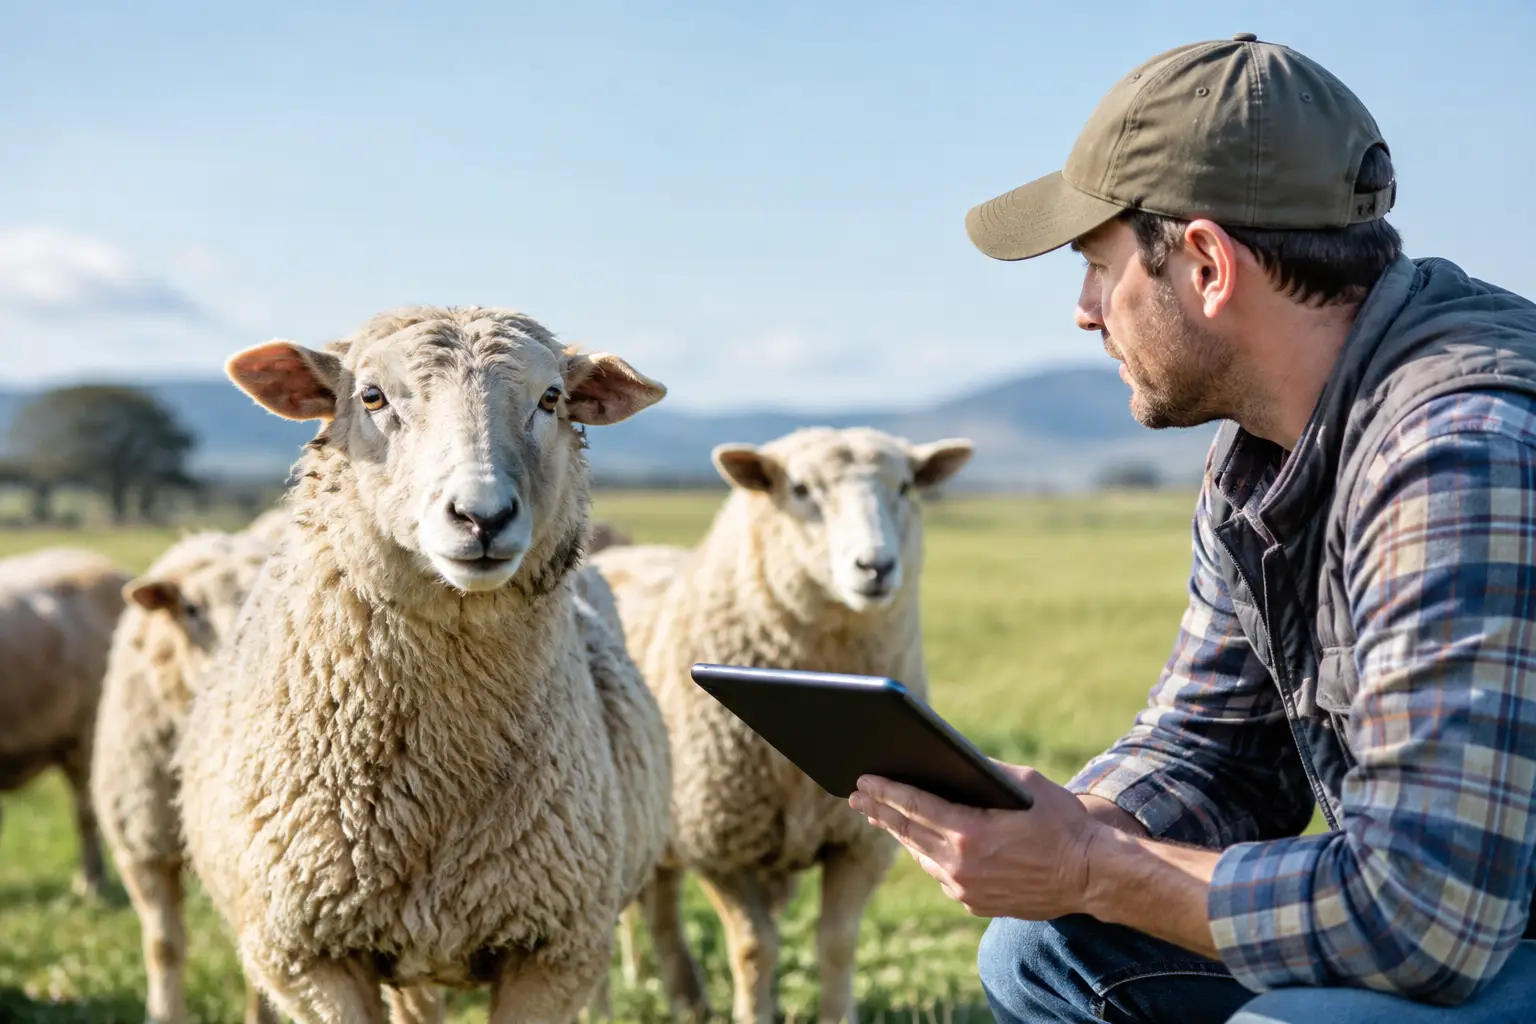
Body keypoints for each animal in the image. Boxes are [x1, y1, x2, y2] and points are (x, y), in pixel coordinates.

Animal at [172, 305, 674, 1024]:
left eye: (552, 398)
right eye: (371, 397)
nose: (482, 516)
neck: (437, 777)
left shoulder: (554, 950)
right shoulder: (309, 957)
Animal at [589, 425, 974, 1024]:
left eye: (907, 486)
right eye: (800, 489)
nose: (876, 567)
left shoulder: (860, 840)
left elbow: (837, 943)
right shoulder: (716, 840)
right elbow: (755, 947)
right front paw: (754, 1012)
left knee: (657, 906)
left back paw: (679, 994)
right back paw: (612, 1002)